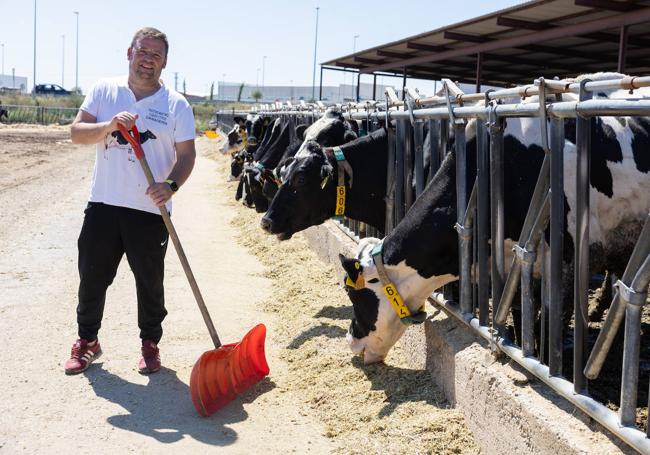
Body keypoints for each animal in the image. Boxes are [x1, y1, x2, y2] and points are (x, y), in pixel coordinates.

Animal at [336, 75, 648, 366]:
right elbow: (521, 313)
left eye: (353, 295)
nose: (351, 341)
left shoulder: (569, 258)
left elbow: (550, 322)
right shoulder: (516, 263)